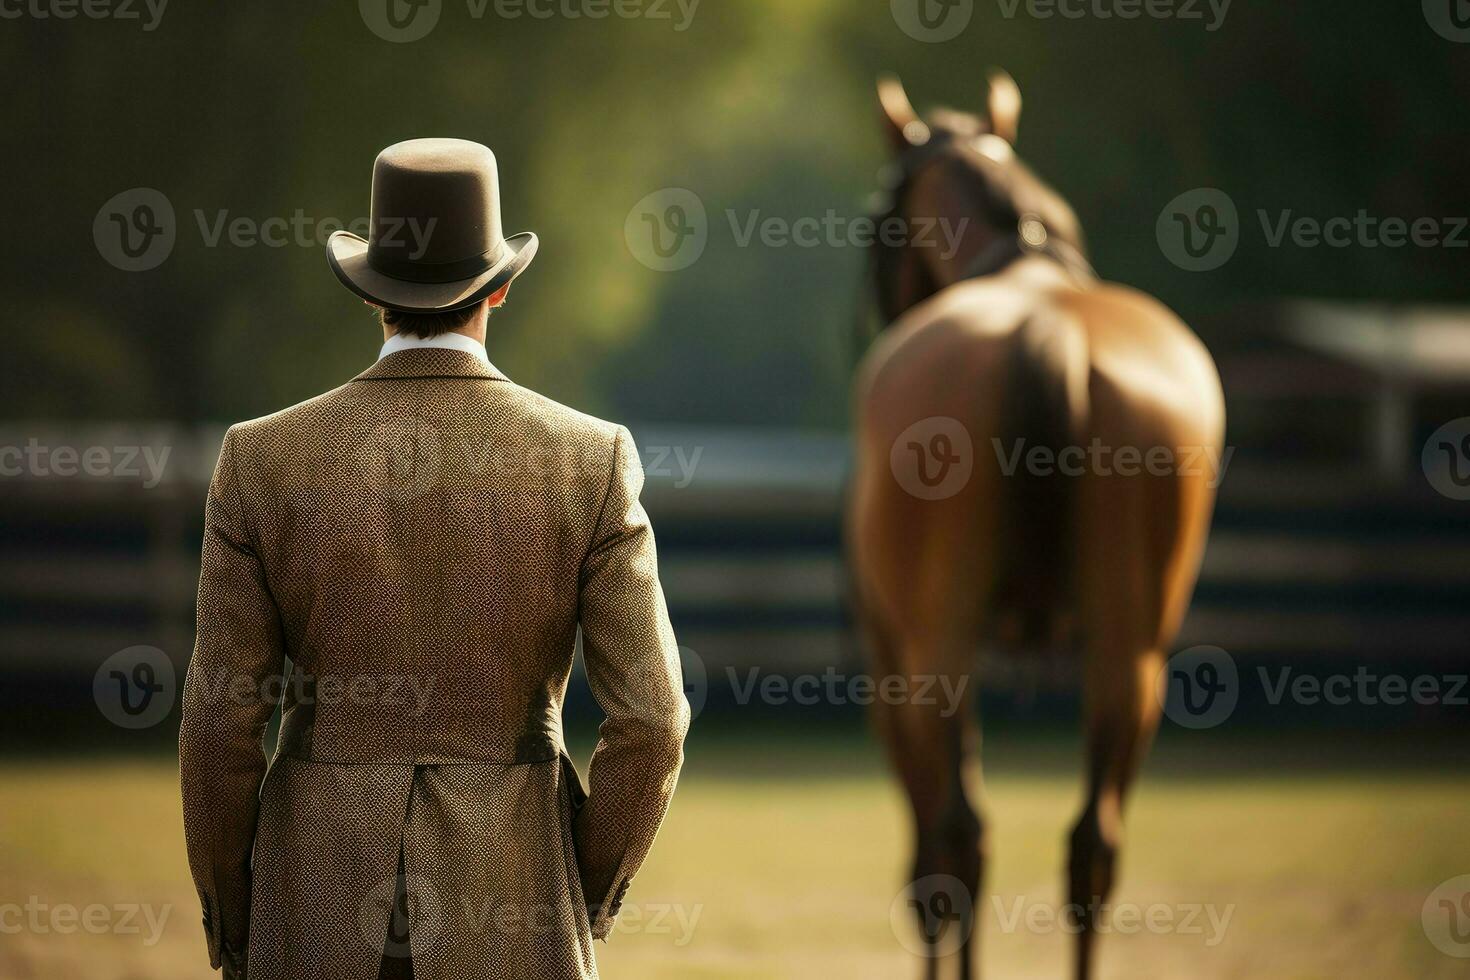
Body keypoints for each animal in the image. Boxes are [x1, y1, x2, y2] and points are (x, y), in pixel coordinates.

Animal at [846, 72, 1223, 975]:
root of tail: (1049, 328)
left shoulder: (888, 661)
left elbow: (927, 865)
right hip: (1131, 651)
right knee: (1093, 845)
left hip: (935, 651)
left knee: (959, 838)